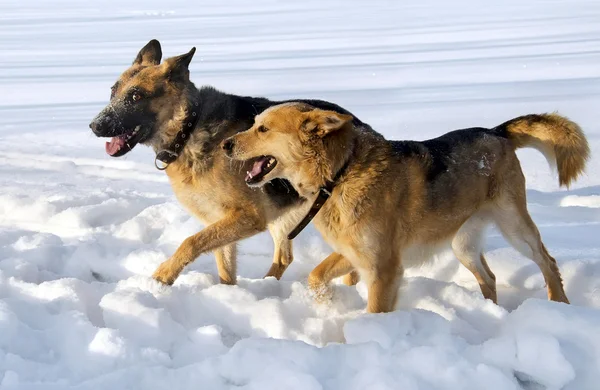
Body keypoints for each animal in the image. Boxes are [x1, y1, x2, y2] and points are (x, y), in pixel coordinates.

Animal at [223, 102, 588, 312]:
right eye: (254, 123)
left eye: (263, 129)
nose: (225, 144)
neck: (340, 174)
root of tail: (496, 132)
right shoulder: (355, 254)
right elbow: (316, 276)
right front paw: (327, 305)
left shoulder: (382, 268)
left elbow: (375, 310)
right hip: (463, 244)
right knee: (490, 277)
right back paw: (490, 313)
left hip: (514, 226)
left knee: (547, 261)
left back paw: (560, 306)